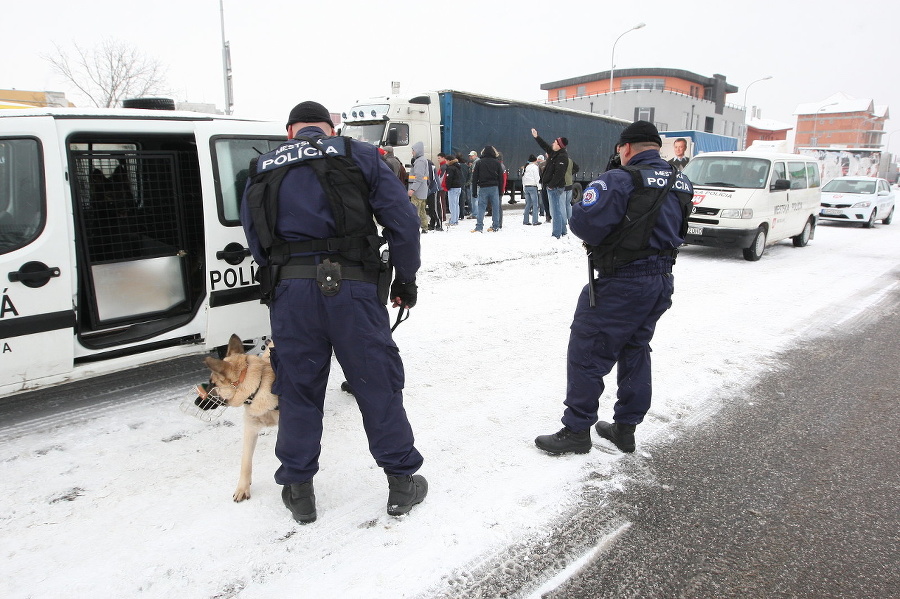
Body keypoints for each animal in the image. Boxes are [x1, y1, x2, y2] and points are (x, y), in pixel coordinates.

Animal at [200, 336, 278, 504]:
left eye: (212, 384)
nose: (199, 401)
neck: (258, 387)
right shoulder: (250, 430)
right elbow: (245, 462)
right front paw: (243, 488)